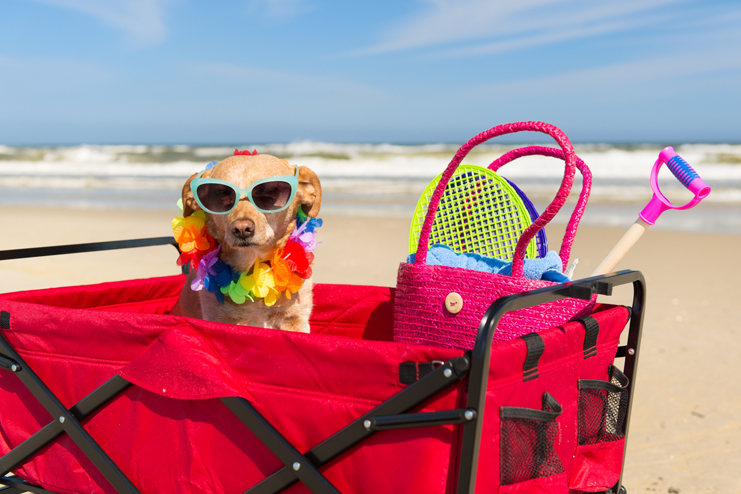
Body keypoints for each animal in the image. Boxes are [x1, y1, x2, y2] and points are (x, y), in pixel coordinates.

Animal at [173, 152, 324, 334]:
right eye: (221, 193)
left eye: (269, 191)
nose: (242, 229)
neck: (254, 267)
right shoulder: (221, 320)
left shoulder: (295, 320)